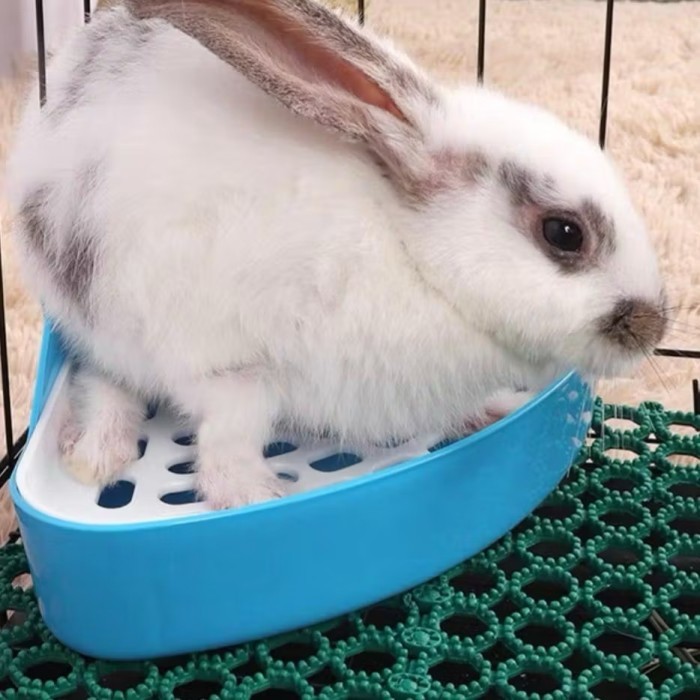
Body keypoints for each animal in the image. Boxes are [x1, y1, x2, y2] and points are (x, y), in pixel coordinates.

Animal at [6, 0, 667, 509]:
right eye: (564, 233)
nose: (652, 327)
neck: (411, 256)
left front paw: (495, 409)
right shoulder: (230, 369)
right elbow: (226, 441)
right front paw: (253, 497)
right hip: (105, 309)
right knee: (102, 376)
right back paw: (97, 453)